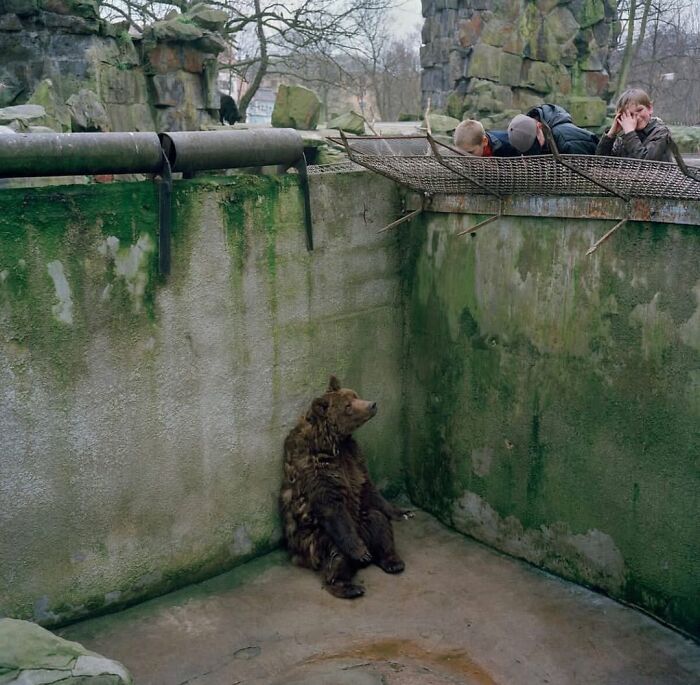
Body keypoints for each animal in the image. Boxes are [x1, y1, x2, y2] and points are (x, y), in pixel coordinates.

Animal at [279, 375, 410, 599]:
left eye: (355, 395)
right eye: (348, 405)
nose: (372, 404)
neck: (333, 442)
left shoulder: (354, 457)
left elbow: (368, 488)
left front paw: (402, 512)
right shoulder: (317, 468)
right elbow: (331, 505)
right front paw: (359, 551)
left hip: (362, 521)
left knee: (379, 523)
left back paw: (392, 561)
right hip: (317, 542)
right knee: (336, 555)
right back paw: (349, 584)